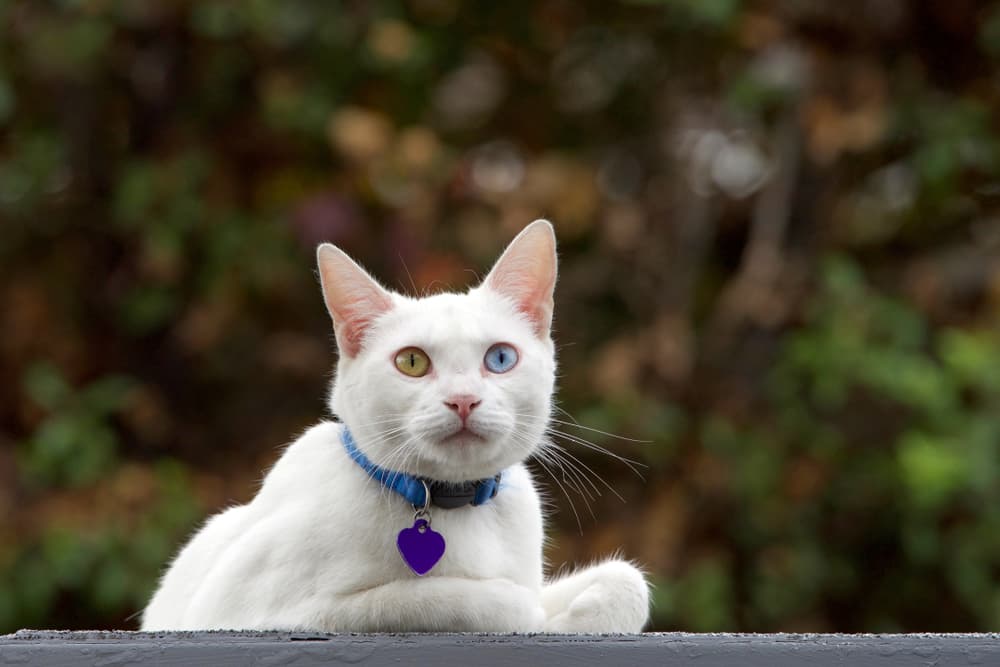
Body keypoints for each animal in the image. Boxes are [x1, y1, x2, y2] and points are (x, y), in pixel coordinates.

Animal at [141, 222, 648, 636]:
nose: (463, 399)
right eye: (412, 362)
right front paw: (527, 611)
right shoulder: (245, 612)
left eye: (501, 358)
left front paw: (572, 615)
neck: (451, 505)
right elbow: (430, 599)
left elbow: (629, 582)